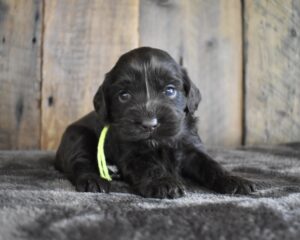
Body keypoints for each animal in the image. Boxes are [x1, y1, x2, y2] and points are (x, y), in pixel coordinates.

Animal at [55, 47, 254, 199]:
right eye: (124, 95)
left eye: (170, 90)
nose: (149, 124)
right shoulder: (133, 154)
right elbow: (150, 167)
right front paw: (164, 183)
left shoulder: (192, 148)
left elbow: (211, 165)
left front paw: (234, 180)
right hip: (78, 136)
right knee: (80, 162)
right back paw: (93, 180)